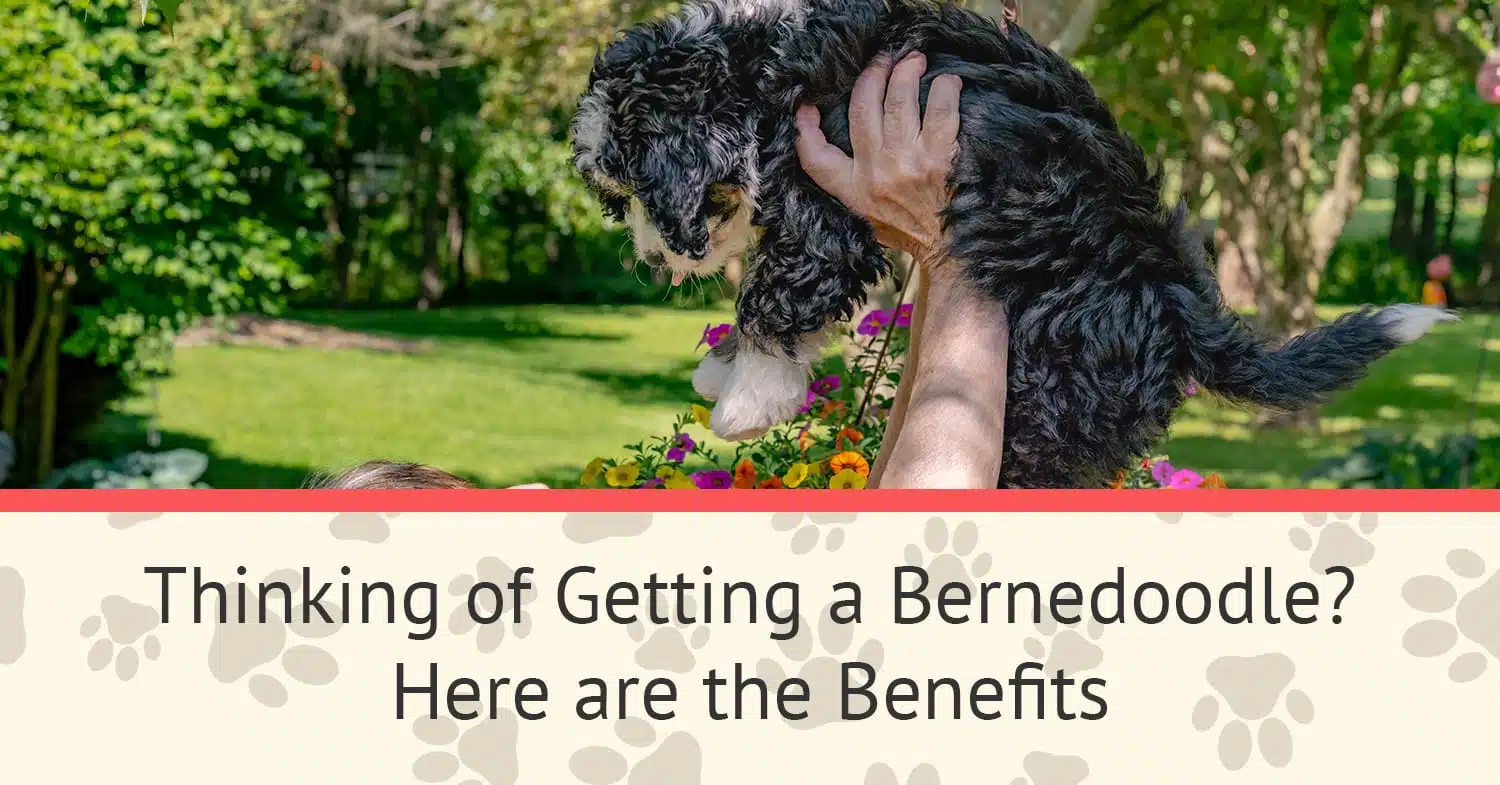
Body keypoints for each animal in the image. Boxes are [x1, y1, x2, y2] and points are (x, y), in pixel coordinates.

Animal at [567, 0, 1458, 489]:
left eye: (637, 191)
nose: (652, 259)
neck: (752, 71)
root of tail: (1174, 293)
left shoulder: (824, 204)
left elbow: (776, 294)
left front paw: (747, 399)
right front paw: (725, 375)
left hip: (1050, 385)